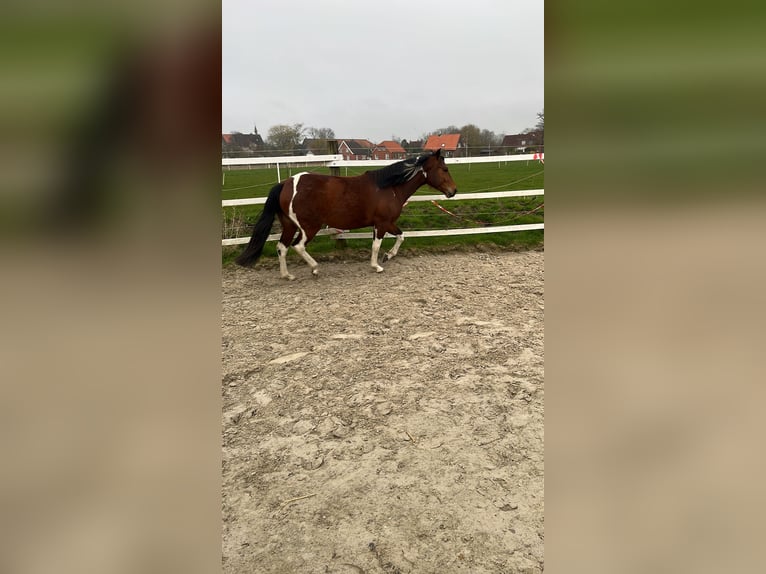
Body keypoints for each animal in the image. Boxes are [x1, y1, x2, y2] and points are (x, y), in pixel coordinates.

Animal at [237, 148, 460, 280]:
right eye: (445, 169)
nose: (454, 191)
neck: (389, 188)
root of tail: (287, 183)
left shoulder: (386, 223)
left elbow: (401, 236)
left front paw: (388, 256)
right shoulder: (382, 223)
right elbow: (377, 245)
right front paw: (377, 266)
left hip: (290, 225)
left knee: (281, 247)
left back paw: (287, 275)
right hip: (309, 227)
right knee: (297, 246)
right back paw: (315, 268)